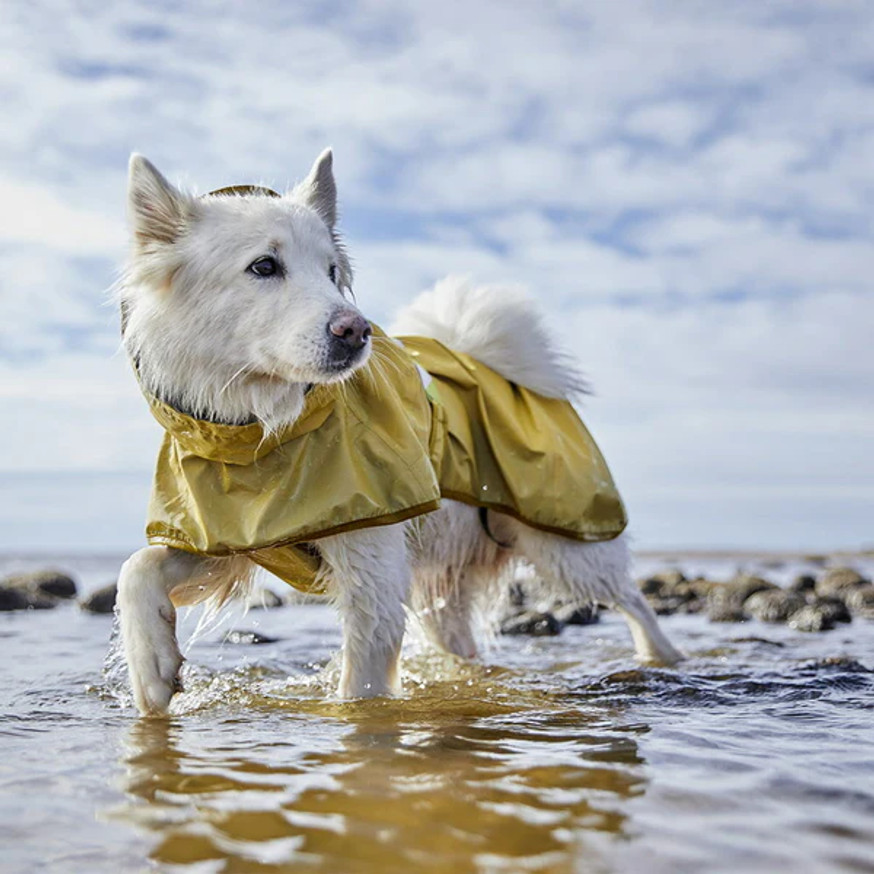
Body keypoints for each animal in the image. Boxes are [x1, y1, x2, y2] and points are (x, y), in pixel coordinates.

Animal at [116, 150, 680, 712]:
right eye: (264, 266)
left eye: (332, 272)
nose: (356, 331)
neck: (260, 436)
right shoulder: (230, 543)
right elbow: (136, 568)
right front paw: (153, 669)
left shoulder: (374, 570)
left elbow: (360, 688)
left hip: (569, 546)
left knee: (635, 601)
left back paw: (661, 658)